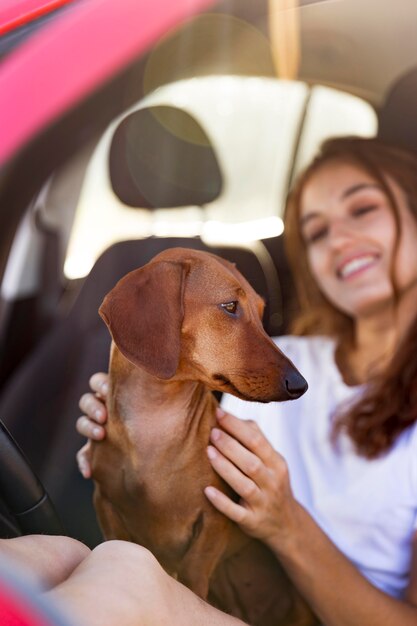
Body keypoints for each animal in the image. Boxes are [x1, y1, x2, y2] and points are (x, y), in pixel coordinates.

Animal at [88, 247, 316, 624]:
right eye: (229, 306)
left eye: (261, 311)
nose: (300, 384)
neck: (155, 426)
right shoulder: (104, 503)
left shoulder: (214, 519)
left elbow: (194, 570)